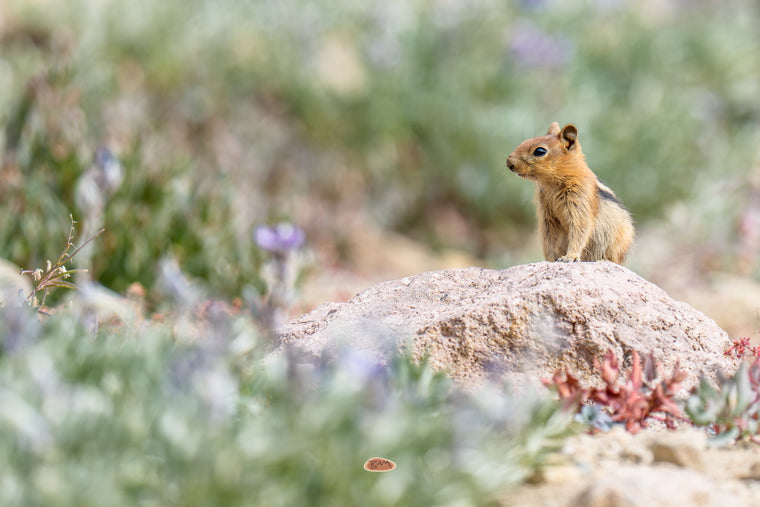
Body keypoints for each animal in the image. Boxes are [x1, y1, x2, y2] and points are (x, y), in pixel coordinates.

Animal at [506, 122, 634, 264]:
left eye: (540, 151)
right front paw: (550, 259)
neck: (551, 184)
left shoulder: (580, 201)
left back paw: (603, 260)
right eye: (523, 142)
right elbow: (548, 238)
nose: (508, 162)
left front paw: (569, 257)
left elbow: (579, 229)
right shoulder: (546, 214)